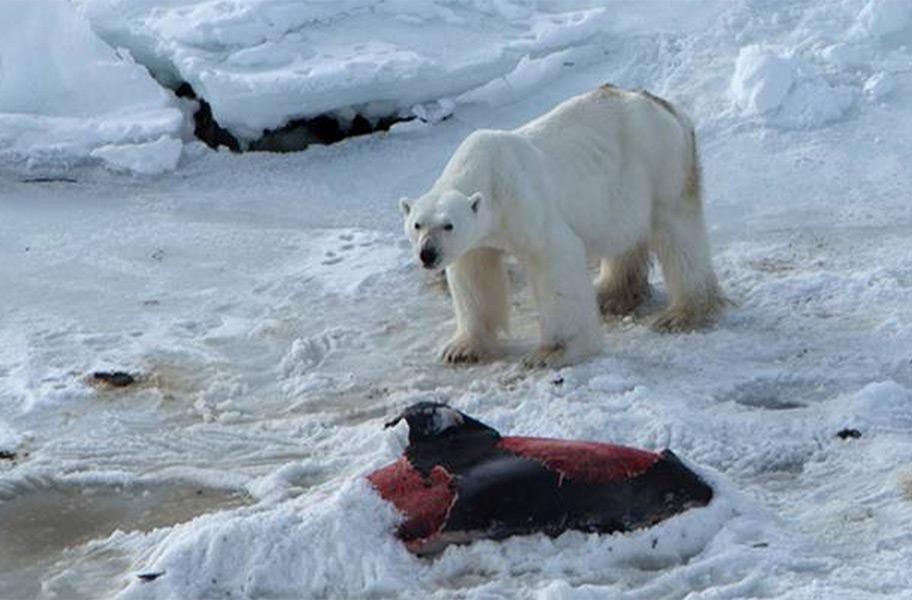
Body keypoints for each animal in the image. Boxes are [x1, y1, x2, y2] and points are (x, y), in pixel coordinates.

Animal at [400, 83, 728, 366]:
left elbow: (553, 259)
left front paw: (551, 352)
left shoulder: (524, 204)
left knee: (678, 233)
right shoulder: (477, 240)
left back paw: (682, 313)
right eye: (417, 225)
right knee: (624, 236)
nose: (428, 254)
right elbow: (474, 275)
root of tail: (665, 105)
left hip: (660, 165)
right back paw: (609, 294)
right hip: (620, 191)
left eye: (448, 225)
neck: (487, 172)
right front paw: (461, 348)